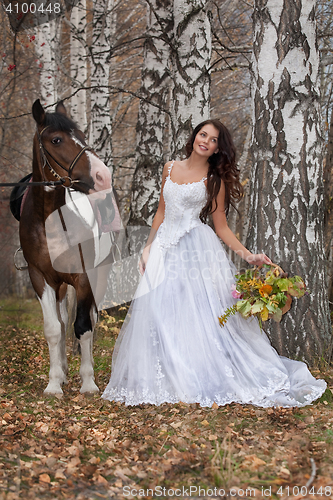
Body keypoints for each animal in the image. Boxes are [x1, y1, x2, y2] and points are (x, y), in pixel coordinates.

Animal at [20, 99, 115, 392]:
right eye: (56, 139)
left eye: (82, 136)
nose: (103, 176)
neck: (49, 221)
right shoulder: (40, 277)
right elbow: (53, 328)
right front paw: (53, 383)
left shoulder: (84, 278)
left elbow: (83, 326)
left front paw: (88, 382)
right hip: (59, 285)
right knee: (62, 322)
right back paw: (61, 371)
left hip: (99, 276)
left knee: (90, 321)